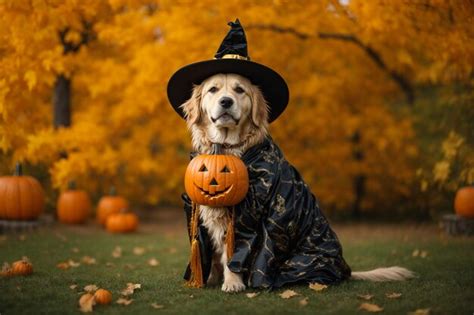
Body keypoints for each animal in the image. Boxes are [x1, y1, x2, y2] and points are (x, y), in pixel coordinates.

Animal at [181, 73, 414, 294]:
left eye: (240, 90)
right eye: (213, 89)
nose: (226, 101)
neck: (225, 148)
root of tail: (345, 271)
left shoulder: (246, 215)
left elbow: (234, 255)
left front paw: (232, 283)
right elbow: (209, 253)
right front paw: (207, 279)